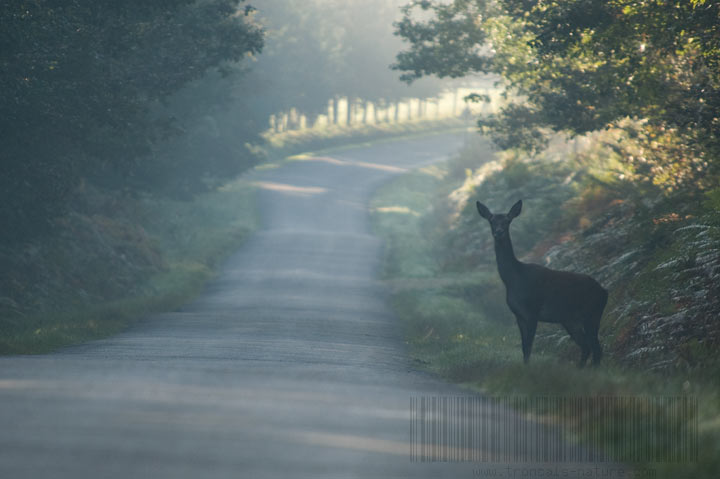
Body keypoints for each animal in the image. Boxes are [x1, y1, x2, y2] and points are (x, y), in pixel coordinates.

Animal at [478, 199, 608, 368]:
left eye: (507, 221)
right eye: (491, 221)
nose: (499, 232)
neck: (513, 280)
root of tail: (604, 292)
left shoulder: (533, 311)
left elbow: (528, 347)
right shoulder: (518, 315)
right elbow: (523, 347)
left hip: (592, 313)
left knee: (596, 348)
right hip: (570, 320)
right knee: (587, 346)